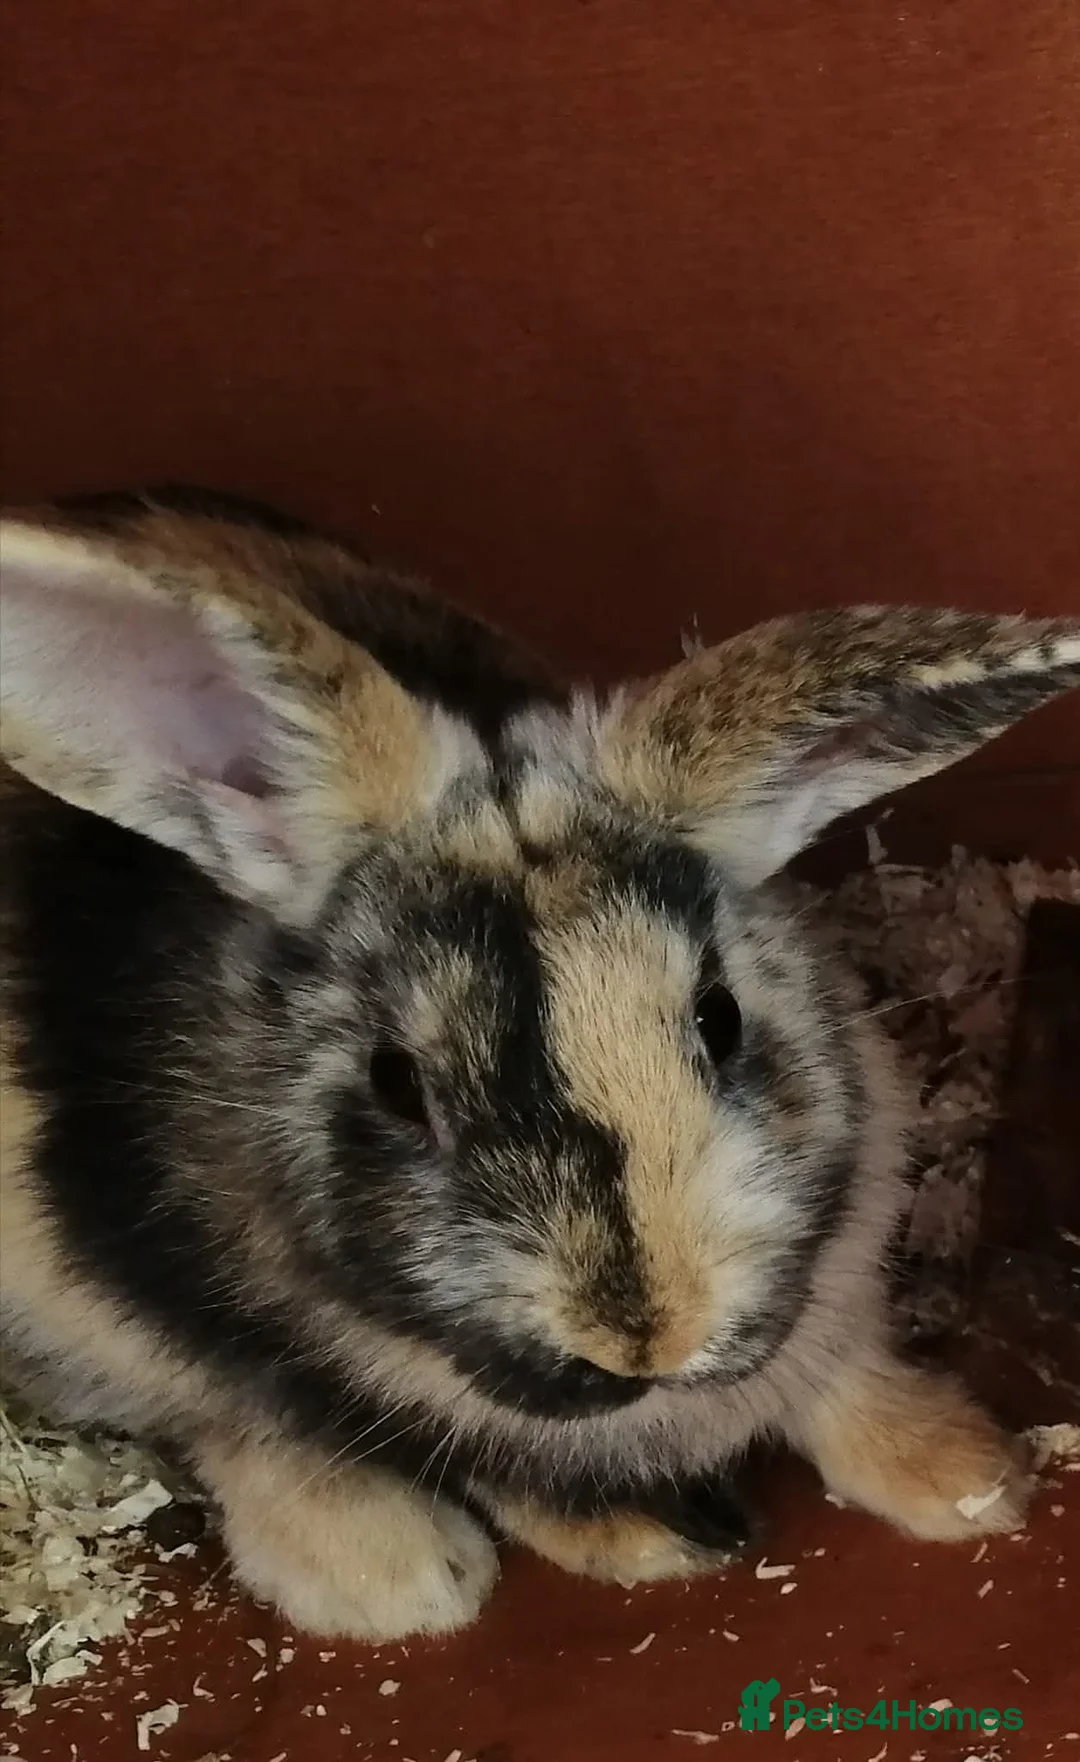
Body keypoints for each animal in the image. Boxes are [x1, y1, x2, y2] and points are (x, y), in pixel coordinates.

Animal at [1, 484, 1078, 1643]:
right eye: (397, 1083)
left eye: (719, 1017)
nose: (646, 1337)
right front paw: (643, 1548)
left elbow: (847, 1380)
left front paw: (974, 1484)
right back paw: (402, 1575)